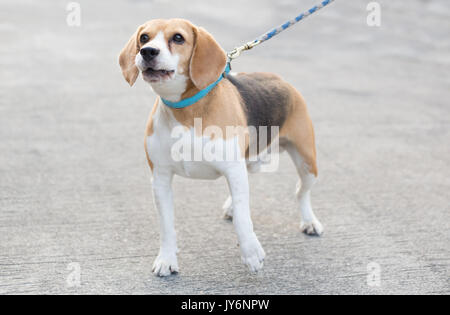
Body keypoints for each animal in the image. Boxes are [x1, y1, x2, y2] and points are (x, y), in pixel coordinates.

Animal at [119, 19, 324, 276]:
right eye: (144, 38)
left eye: (178, 38)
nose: (147, 52)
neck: (185, 111)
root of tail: (279, 78)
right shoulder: (160, 178)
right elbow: (166, 224)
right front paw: (166, 259)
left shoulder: (232, 169)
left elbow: (243, 218)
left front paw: (251, 252)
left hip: (307, 162)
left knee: (300, 191)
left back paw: (309, 222)